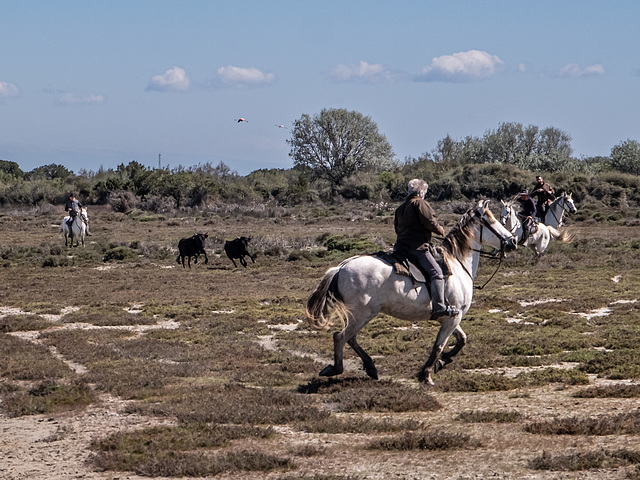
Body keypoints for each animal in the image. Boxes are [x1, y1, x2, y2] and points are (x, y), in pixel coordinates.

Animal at [302, 201, 516, 384]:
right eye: (492, 220)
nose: (513, 241)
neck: (457, 263)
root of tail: (340, 267)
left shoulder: (451, 316)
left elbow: (461, 340)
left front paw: (440, 363)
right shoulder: (453, 317)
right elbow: (439, 346)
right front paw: (427, 374)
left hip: (360, 316)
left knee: (350, 338)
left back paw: (370, 368)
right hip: (362, 314)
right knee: (340, 337)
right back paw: (337, 368)